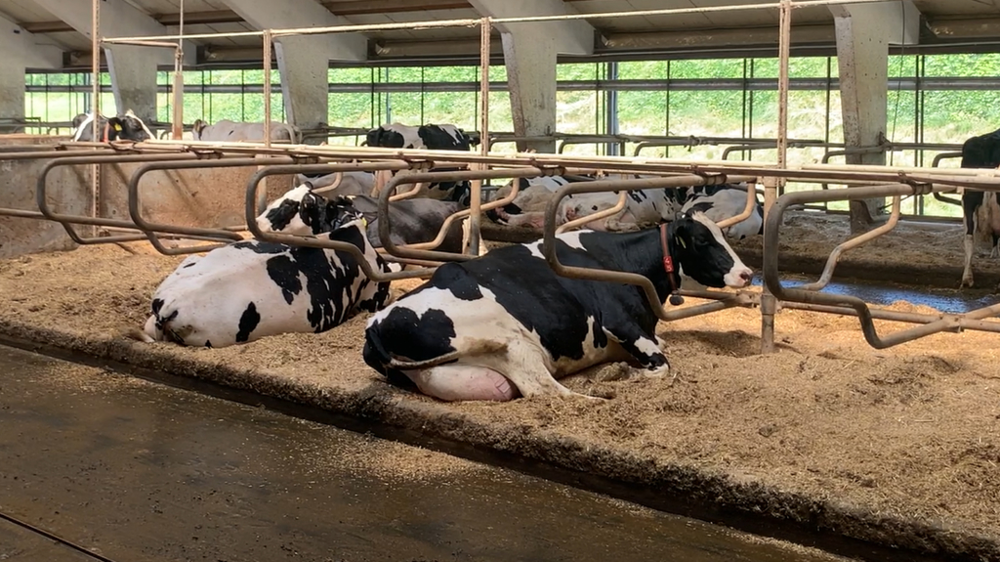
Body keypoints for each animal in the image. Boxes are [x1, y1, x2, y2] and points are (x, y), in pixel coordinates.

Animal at [362, 210, 754, 402]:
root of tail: (375, 328)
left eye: (724, 236)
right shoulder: (618, 321)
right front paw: (623, 374)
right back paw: (600, 396)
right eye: (703, 241)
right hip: (514, 345)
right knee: (548, 391)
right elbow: (662, 366)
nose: (747, 273)